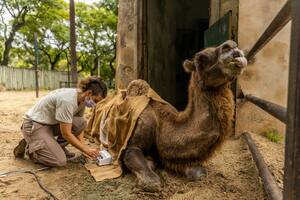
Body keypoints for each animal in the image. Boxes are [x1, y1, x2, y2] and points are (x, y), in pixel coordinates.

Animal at [120, 39, 247, 191]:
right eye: (200, 58)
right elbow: (151, 180)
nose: (231, 45)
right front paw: (150, 172)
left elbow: (198, 172)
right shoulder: (135, 141)